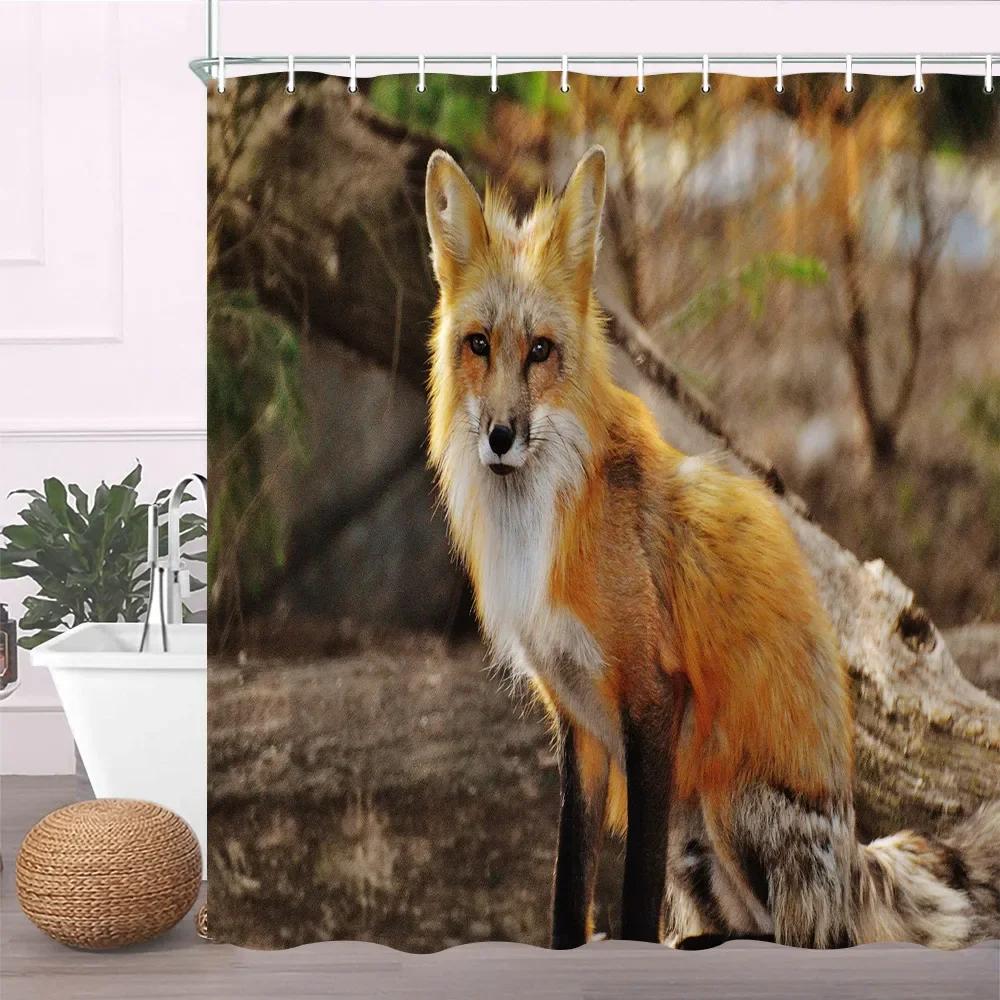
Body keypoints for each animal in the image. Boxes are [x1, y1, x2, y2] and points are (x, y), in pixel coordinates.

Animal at [423, 144, 1000, 950]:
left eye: (540, 351)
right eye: (478, 344)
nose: (501, 437)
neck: (543, 520)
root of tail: (858, 859)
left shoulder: (653, 699)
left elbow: (632, 888)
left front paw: (633, 950)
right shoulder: (580, 724)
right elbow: (570, 885)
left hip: (727, 801)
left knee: (806, 939)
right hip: (690, 830)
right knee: (754, 925)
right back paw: (701, 938)